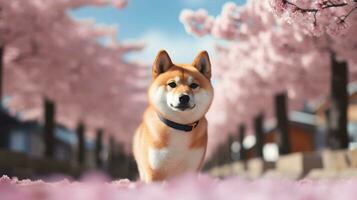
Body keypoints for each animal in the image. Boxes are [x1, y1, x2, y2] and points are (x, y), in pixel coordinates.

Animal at [133, 49, 211, 182]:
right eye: (172, 84)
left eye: (193, 85)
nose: (184, 97)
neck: (179, 126)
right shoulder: (153, 172)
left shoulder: (191, 170)